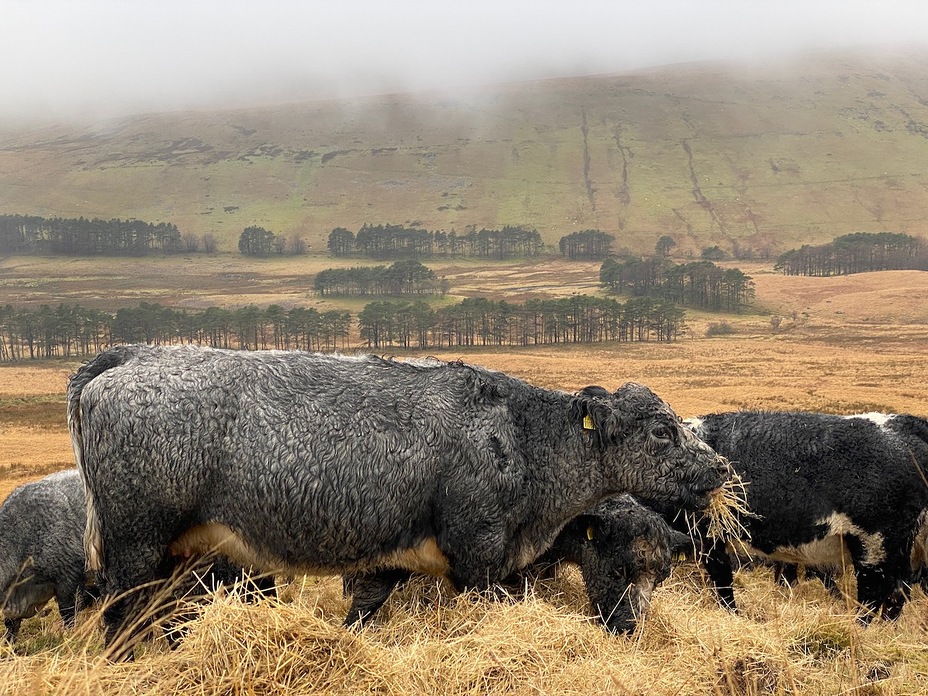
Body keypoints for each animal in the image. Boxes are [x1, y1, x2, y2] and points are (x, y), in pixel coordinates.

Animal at [69, 346, 728, 656]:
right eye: (661, 430)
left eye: (661, 573)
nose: (719, 467)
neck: (521, 434)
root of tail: (133, 355)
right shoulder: (480, 557)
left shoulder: (388, 561)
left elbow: (362, 612)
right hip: (135, 544)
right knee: (120, 614)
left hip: (176, 555)